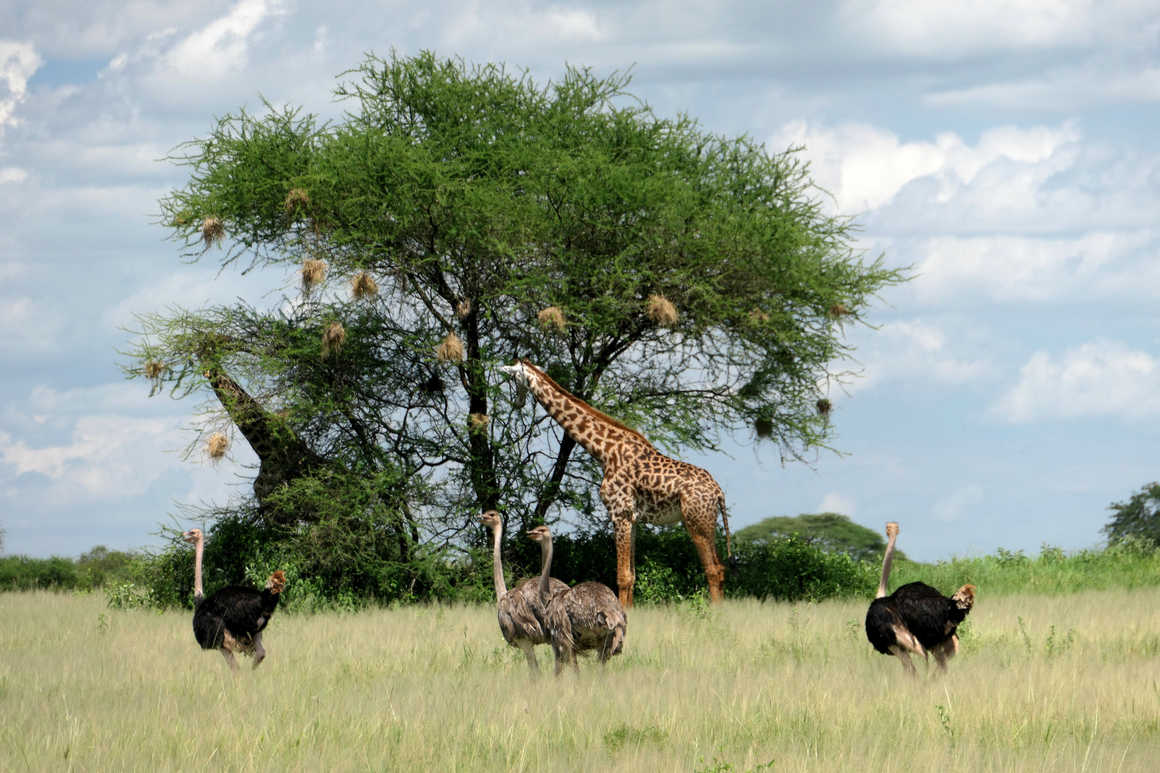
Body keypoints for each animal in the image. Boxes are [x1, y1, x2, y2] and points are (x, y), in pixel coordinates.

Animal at [501, 357, 733, 603]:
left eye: (513, 378)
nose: (516, 403)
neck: (605, 451)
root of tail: (718, 492)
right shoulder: (631, 518)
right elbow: (631, 576)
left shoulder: (618, 512)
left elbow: (621, 577)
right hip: (708, 522)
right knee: (719, 568)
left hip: (696, 521)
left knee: (712, 569)